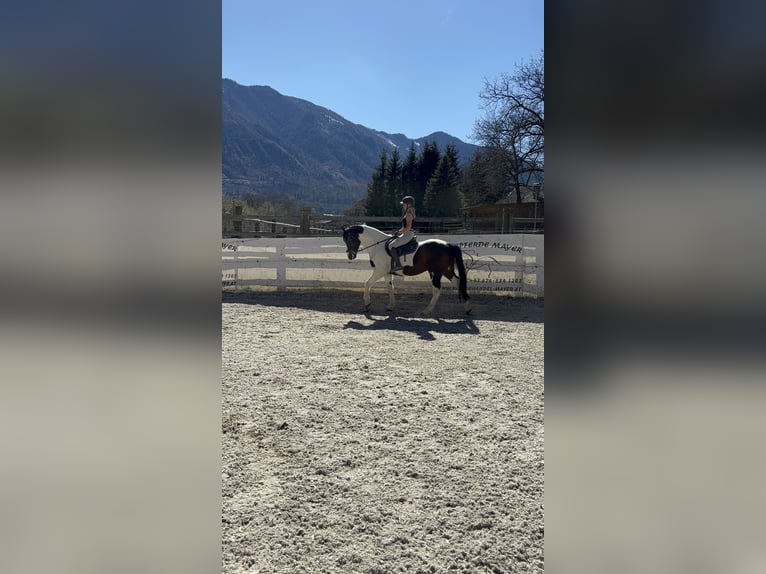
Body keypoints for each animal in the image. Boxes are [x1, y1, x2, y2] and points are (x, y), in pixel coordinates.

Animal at [342, 224, 471, 315]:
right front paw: (390, 306)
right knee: (457, 281)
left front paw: (367, 303)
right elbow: (390, 287)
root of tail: (449, 245)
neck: (378, 246)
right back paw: (466, 307)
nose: (350, 256)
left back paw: (427, 310)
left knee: (437, 289)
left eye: (350, 239)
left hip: (436, 272)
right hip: (446, 270)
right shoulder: (387, 273)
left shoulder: (380, 270)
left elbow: (367, 283)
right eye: (345, 240)